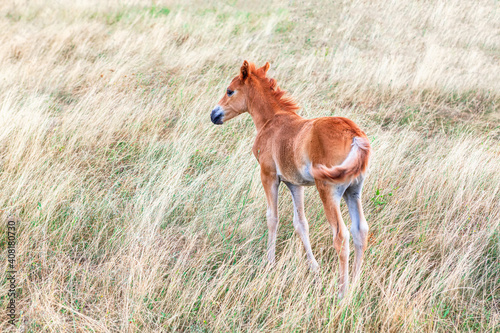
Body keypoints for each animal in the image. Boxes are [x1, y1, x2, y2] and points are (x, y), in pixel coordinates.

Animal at [210, 61, 372, 296]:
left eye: (229, 91)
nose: (214, 114)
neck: (271, 120)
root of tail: (355, 135)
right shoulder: (294, 183)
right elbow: (301, 223)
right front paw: (314, 268)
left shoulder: (268, 175)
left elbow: (272, 217)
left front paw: (269, 263)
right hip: (353, 190)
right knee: (360, 230)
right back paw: (355, 287)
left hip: (329, 190)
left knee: (341, 236)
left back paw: (342, 293)